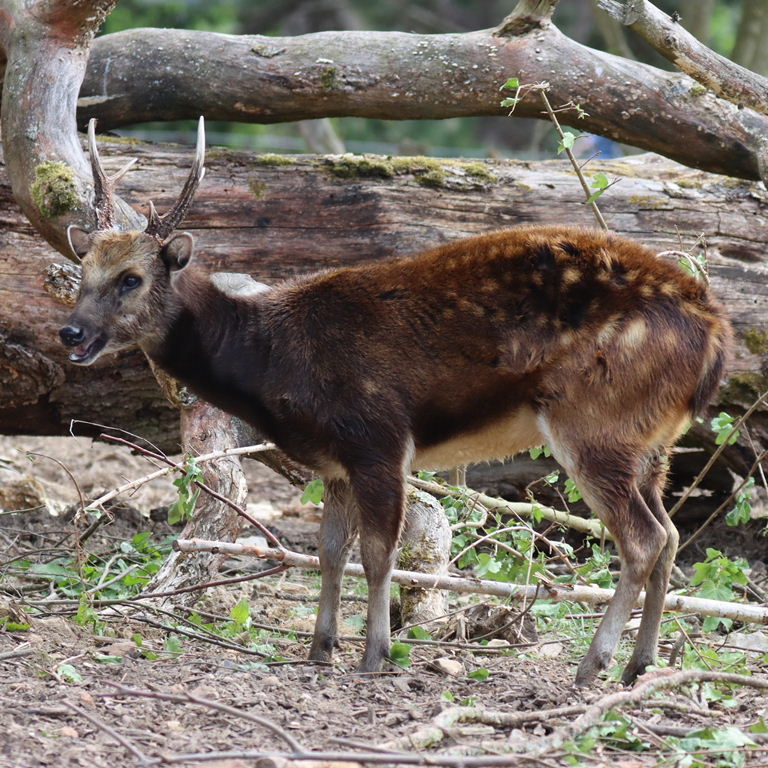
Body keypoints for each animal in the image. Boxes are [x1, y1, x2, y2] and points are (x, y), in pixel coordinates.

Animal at [59, 118, 732, 686]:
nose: (71, 333)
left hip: (596, 421)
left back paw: (593, 665)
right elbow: (331, 551)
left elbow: (379, 552)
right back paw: (639, 665)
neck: (274, 359)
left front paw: (374, 654)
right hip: (650, 440)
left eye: (131, 279)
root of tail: (715, 333)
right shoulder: (334, 460)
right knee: (672, 535)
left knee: (641, 539)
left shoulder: (377, 435)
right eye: (81, 273)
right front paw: (320, 648)